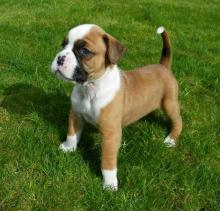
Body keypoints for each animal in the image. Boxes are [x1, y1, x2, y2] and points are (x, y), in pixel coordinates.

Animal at [51, 23, 182, 190]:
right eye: (63, 45)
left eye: (84, 51)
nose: (60, 58)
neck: (90, 88)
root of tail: (163, 67)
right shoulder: (75, 115)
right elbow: (72, 134)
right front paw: (68, 148)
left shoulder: (110, 134)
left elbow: (108, 160)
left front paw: (109, 184)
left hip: (169, 103)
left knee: (178, 121)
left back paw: (171, 139)